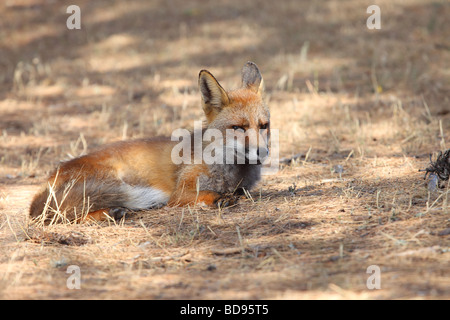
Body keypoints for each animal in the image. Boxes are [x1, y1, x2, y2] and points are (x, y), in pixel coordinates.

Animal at [29, 61, 268, 224]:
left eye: (264, 126)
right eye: (238, 127)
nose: (262, 152)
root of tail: (49, 178)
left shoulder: (243, 188)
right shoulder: (181, 192)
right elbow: (206, 194)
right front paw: (220, 199)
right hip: (112, 180)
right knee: (59, 216)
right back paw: (107, 213)